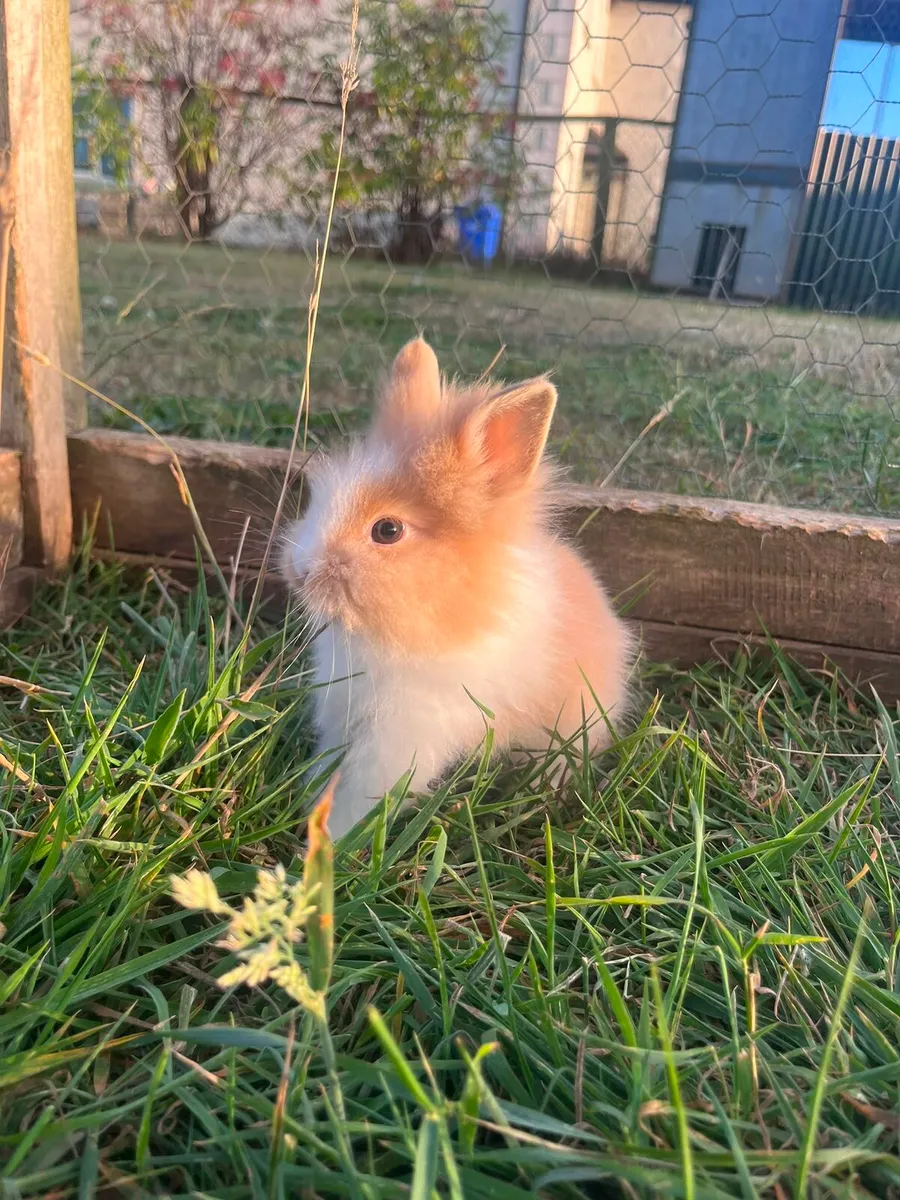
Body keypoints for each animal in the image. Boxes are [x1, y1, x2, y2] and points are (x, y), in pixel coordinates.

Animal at [282, 336, 634, 839]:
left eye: (387, 530)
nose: (299, 570)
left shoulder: (404, 736)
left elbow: (364, 792)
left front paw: (333, 838)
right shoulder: (342, 715)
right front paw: (311, 803)